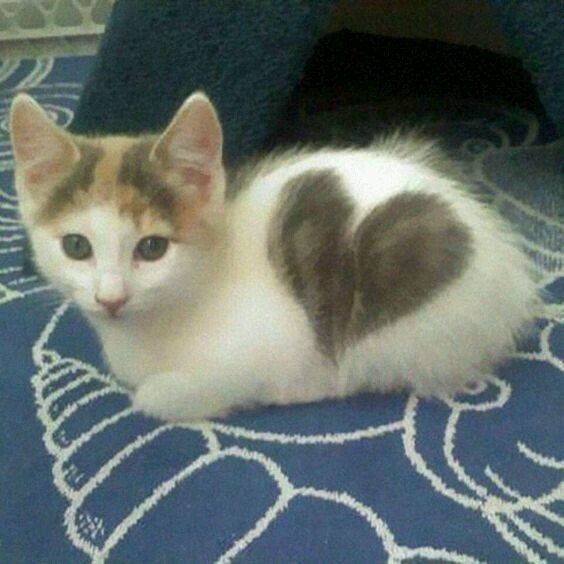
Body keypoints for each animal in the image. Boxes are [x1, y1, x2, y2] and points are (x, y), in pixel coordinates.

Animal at [10, 92, 539, 421]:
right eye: (76, 246)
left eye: (152, 248)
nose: (111, 298)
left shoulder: (281, 343)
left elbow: (174, 392)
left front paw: (163, 393)